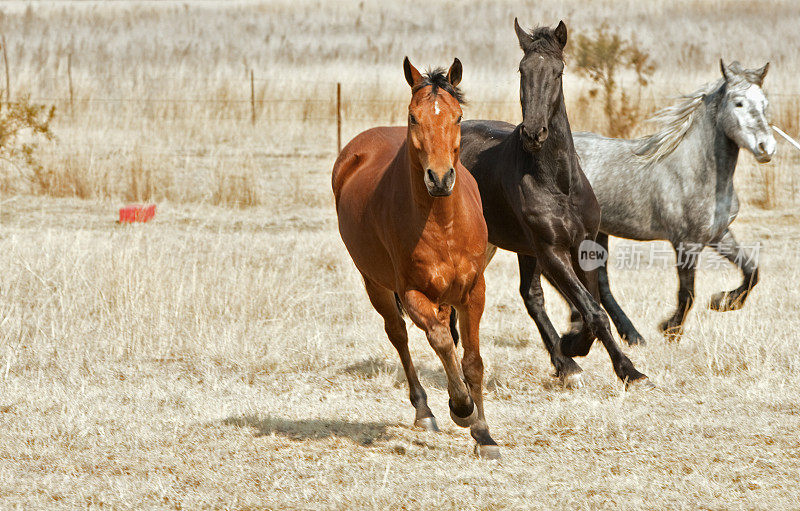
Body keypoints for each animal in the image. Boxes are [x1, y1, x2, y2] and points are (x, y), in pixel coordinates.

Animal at [332, 58, 500, 458]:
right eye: (413, 117)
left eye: (457, 117)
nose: (439, 178)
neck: (443, 223)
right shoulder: (411, 292)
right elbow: (440, 340)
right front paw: (461, 408)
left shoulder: (474, 291)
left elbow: (472, 361)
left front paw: (484, 434)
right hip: (375, 284)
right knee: (399, 335)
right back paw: (425, 412)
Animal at [456, 19, 648, 388]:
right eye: (522, 70)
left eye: (557, 72)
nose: (534, 133)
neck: (558, 184)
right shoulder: (551, 251)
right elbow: (593, 310)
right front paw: (627, 369)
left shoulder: (581, 247)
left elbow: (590, 307)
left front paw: (575, 347)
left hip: (510, 247)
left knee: (530, 297)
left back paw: (564, 363)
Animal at [564, 60, 776, 348]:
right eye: (739, 103)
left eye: (764, 103)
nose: (767, 148)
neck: (696, 170)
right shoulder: (685, 243)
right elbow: (687, 293)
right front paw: (670, 329)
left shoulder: (718, 235)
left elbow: (752, 271)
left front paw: (723, 301)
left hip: (599, 233)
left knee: (600, 282)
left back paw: (630, 335)